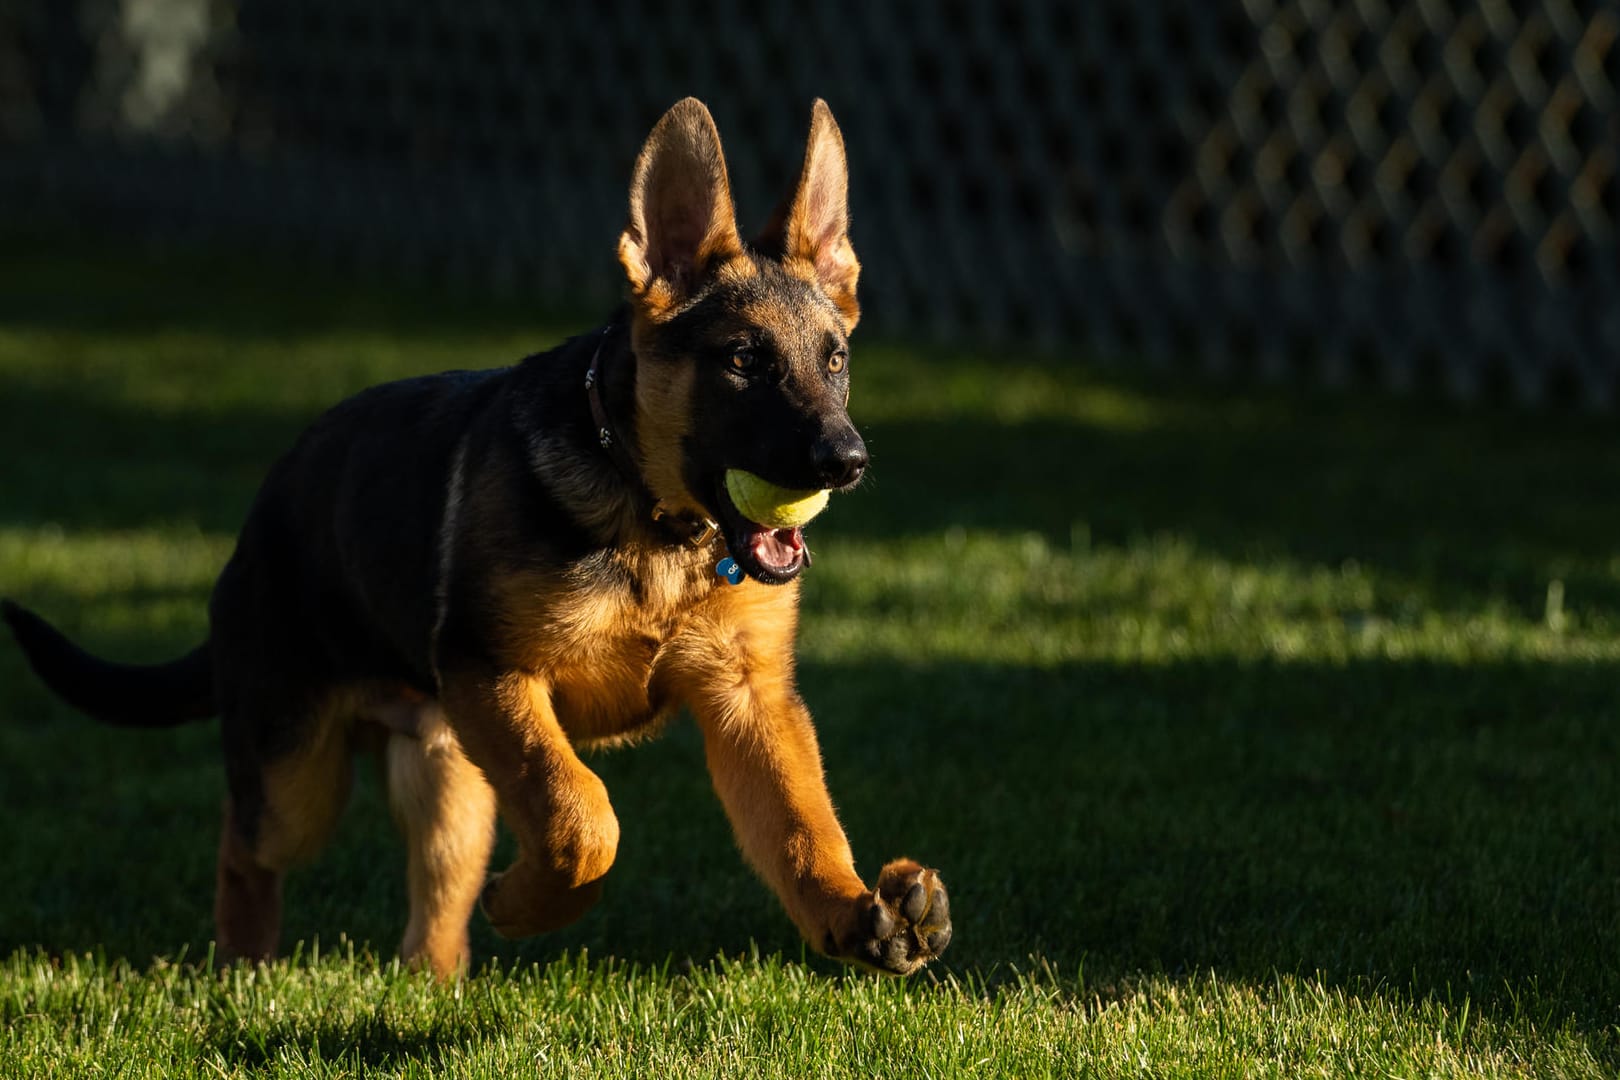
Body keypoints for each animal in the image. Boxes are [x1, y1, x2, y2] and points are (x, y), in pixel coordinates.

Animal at [3, 101, 946, 977]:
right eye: (744, 360)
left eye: (834, 360)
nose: (847, 461)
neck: (653, 526)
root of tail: (261, 516)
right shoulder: (496, 674)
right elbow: (583, 814)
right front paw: (529, 906)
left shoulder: (749, 702)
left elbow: (801, 825)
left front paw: (856, 913)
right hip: (299, 771)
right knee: (245, 841)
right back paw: (244, 963)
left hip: (448, 776)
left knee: (434, 902)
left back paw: (435, 982)